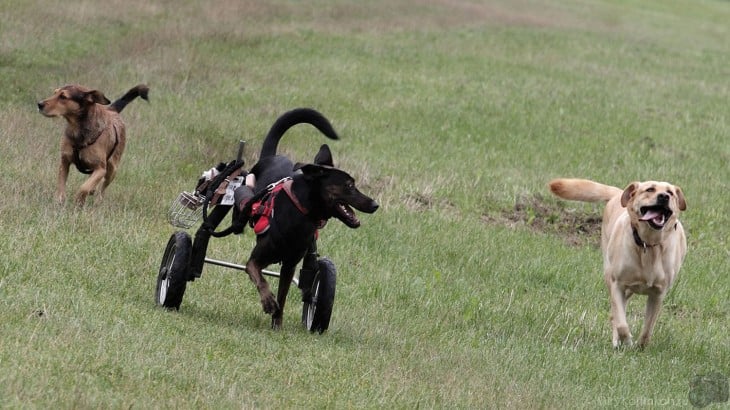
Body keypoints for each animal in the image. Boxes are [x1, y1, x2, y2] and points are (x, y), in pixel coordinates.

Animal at [233, 109, 378, 330]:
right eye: (349, 185)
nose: (375, 204)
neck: (300, 214)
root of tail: (272, 156)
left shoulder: (289, 265)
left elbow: (283, 297)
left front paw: (277, 324)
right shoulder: (254, 261)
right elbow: (259, 276)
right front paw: (268, 302)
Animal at [548, 178, 684, 348]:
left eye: (670, 192)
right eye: (650, 189)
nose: (664, 197)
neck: (648, 245)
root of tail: (619, 193)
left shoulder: (658, 293)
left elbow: (648, 328)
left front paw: (640, 347)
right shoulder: (617, 284)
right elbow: (621, 323)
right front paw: (626, 341)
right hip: (609, 273)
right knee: (615, 314)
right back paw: (616, 341)